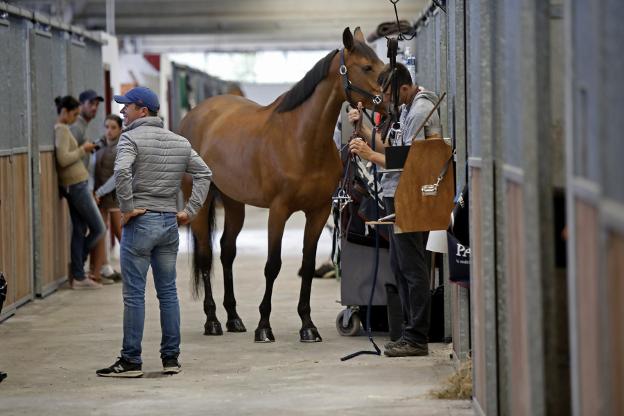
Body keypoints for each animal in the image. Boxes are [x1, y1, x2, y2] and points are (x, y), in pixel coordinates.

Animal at [179, 27, 386, 342]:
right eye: (366, 67)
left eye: (382, 63)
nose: (393, 99)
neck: (300, 139)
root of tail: (194, 115)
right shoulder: (278, 211)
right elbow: (272, 265)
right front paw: (264, 326)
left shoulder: (318, 212)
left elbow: (307, 265)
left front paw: (308, 326)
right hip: (200, 204)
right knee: (205, 256)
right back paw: (212, 321)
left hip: (234, 202)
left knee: (227, 252)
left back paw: (234, 318)